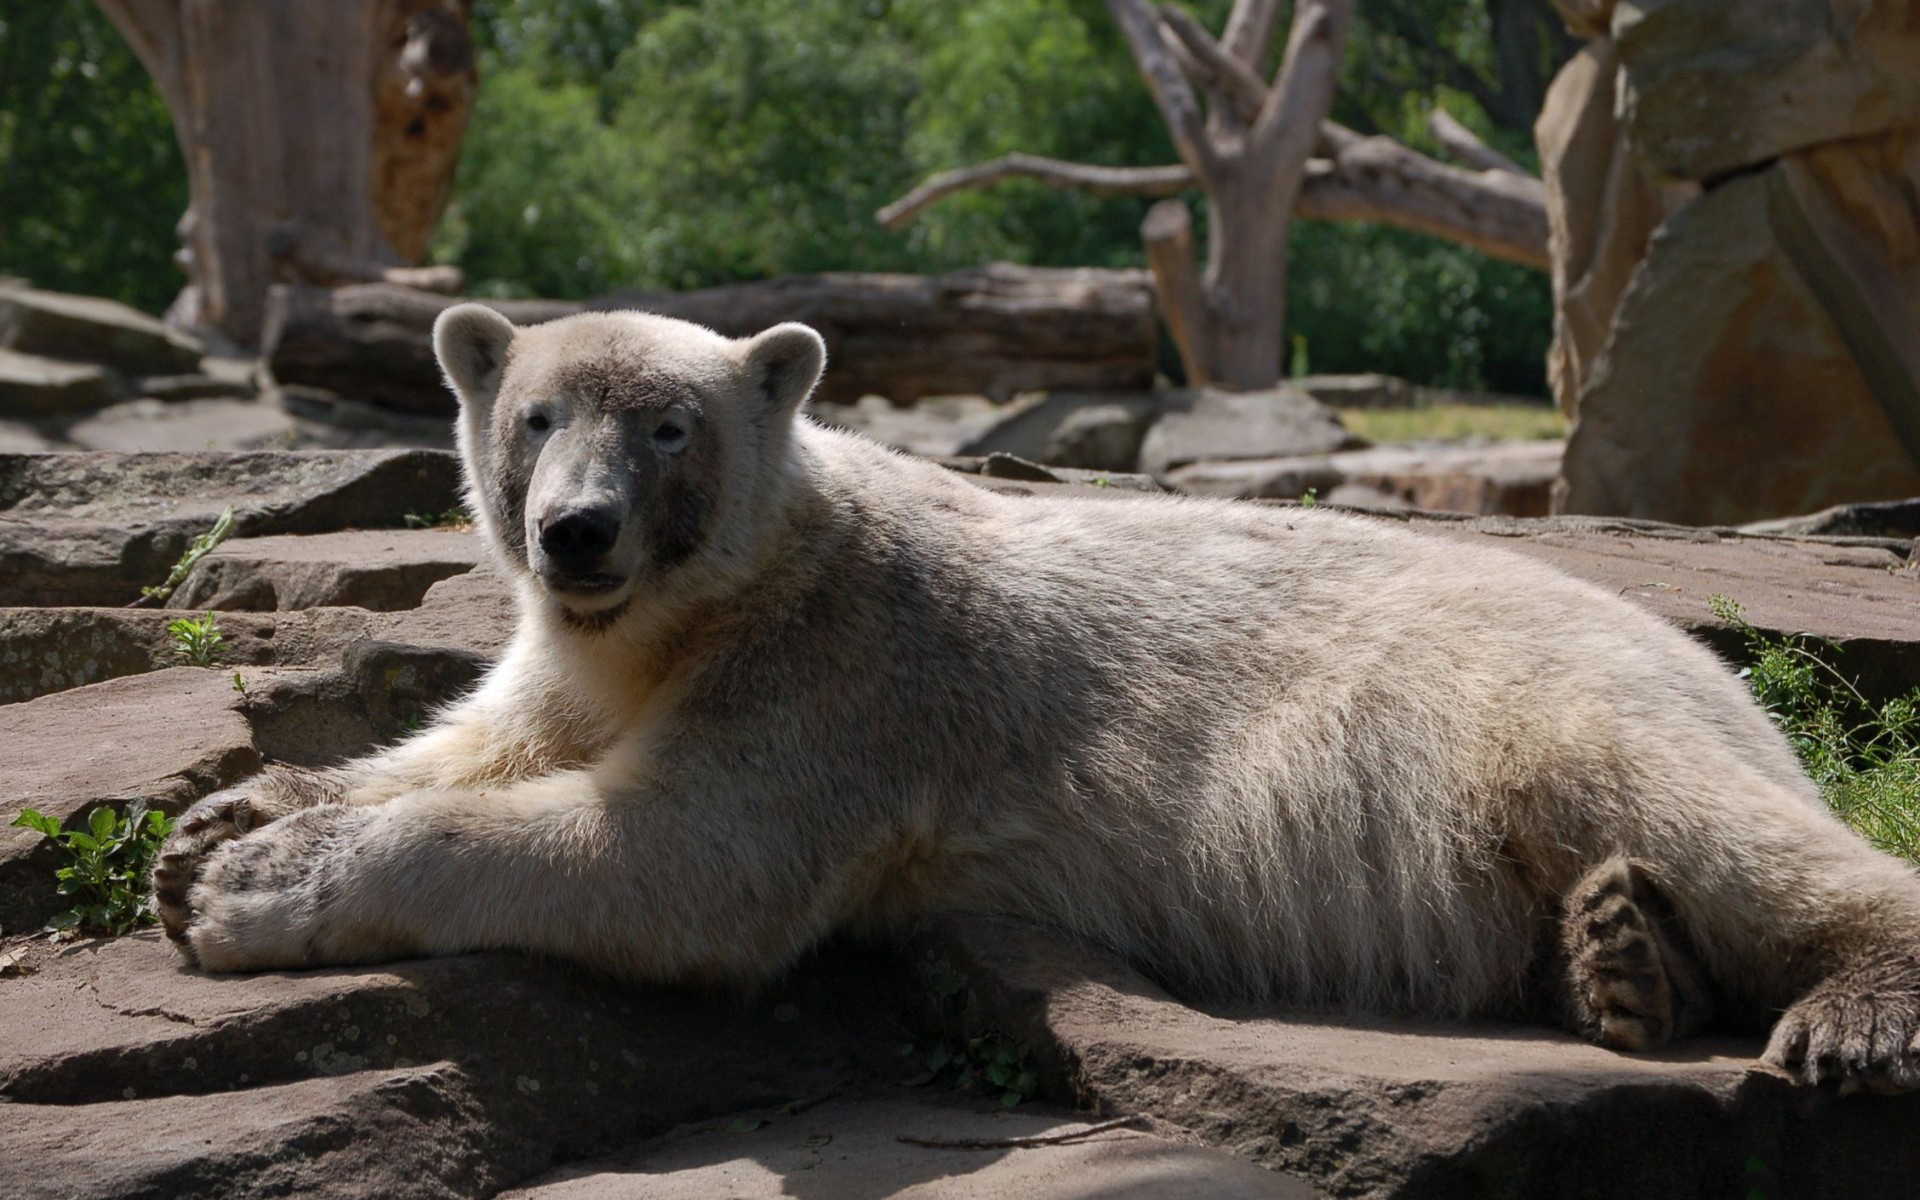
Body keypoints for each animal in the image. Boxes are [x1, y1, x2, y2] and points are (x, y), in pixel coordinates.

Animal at [153, 303, 1920, 1090]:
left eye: (666, 427)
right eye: (533, 417)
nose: (575, 532)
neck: (695, 611)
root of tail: (1711, 661)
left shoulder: (845, 678)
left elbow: (674, 859)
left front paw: (247, 890)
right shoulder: (584, 655)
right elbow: (485, 736)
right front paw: (222, 819)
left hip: (1544, 702)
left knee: (1713, 823)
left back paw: (1839, 1015)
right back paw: (1620, 959)